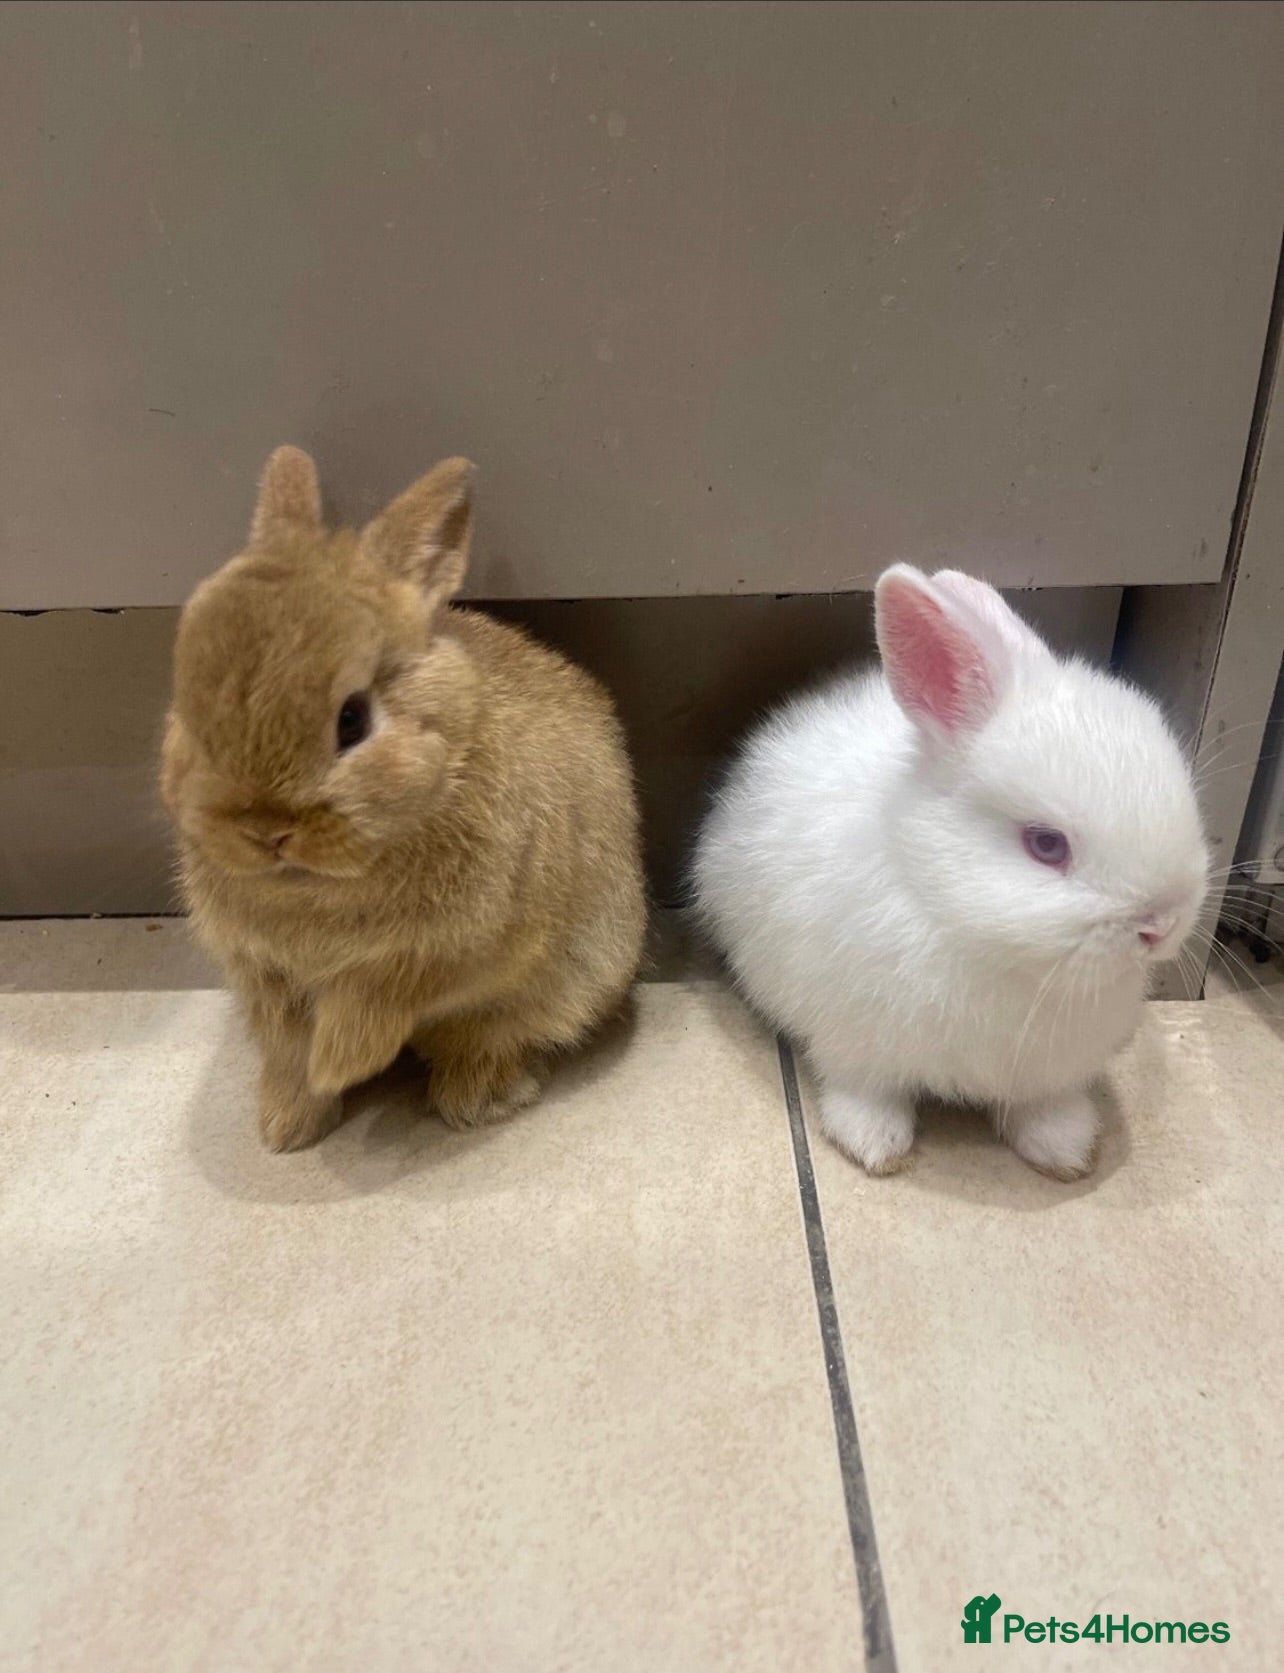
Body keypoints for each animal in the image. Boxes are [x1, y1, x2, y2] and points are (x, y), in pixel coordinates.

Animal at [161, 446, 646, 1152]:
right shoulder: (265, 974)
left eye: (353, 720)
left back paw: (472, 1101)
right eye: (189, 699)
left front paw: (339, 1063)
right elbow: (289, 1045)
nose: (264, 831)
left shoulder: (450, 950)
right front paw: (289, 1124)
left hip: (569, 981)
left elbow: (374, 1004)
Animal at [693, 564, 1209, 1180]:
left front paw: (1065, 1148)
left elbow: (1041, 1105)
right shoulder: (854, 1039)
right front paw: (874, 1144)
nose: (1162, 924)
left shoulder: (1045, 1070)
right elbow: (864, 1089)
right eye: (1046, 845)